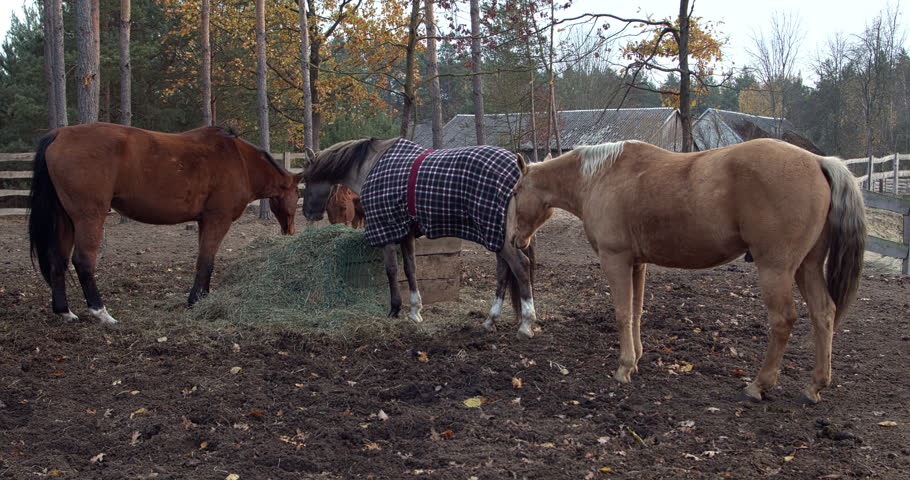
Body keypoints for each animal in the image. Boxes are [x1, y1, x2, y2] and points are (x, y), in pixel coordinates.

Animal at [28, 122, 304, 324]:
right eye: (298, 194)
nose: (290, 231)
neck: (239, 160)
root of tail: (59, 134)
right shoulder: (218, 220)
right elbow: (205, 260)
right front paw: (195, 300)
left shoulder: (204, 222)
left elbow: (205, 262)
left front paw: (202, 298)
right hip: (89, 217)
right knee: (83, 261)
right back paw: (102, 313)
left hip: (66, 220)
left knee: (58, 261)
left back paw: (65, 311)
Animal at [301, 137, 537, 337]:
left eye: (305, 178)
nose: (308, 214)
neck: (372, 166)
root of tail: (517, 168)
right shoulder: (406, 232)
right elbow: (410, 269)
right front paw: (415, 311)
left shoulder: (387, 230)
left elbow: (392, 269)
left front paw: (395, 309)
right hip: (496, 236)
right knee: (503, 272)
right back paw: (490, 320)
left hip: (502, 238)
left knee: (521, 267)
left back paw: (526, 324)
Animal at [509, 138, 866, 404]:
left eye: (514, 192)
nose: (514, 239)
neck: (600, 177)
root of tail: (819, 162)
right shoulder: (636, 263)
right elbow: (636, 312)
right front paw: (636, 359)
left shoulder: (616, 260)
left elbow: (622, 313)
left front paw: (623, 368)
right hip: (807, 267)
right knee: (824, 314)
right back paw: (814, 385)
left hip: (776, 269)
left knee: (783, 321)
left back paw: (758, 386)